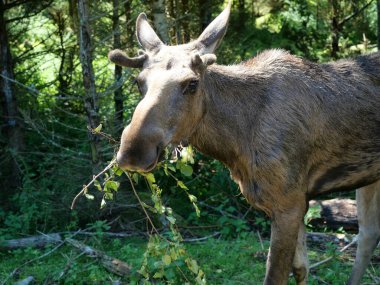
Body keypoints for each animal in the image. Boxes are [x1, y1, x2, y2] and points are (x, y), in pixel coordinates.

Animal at [107, 1, 380, 282]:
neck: (234, 146)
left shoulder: (289, 202)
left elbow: (277, 276)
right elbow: (301, 267)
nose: (133, 150)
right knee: (369, 233)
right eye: (138, 82)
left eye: (192, 84)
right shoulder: (296, 201)